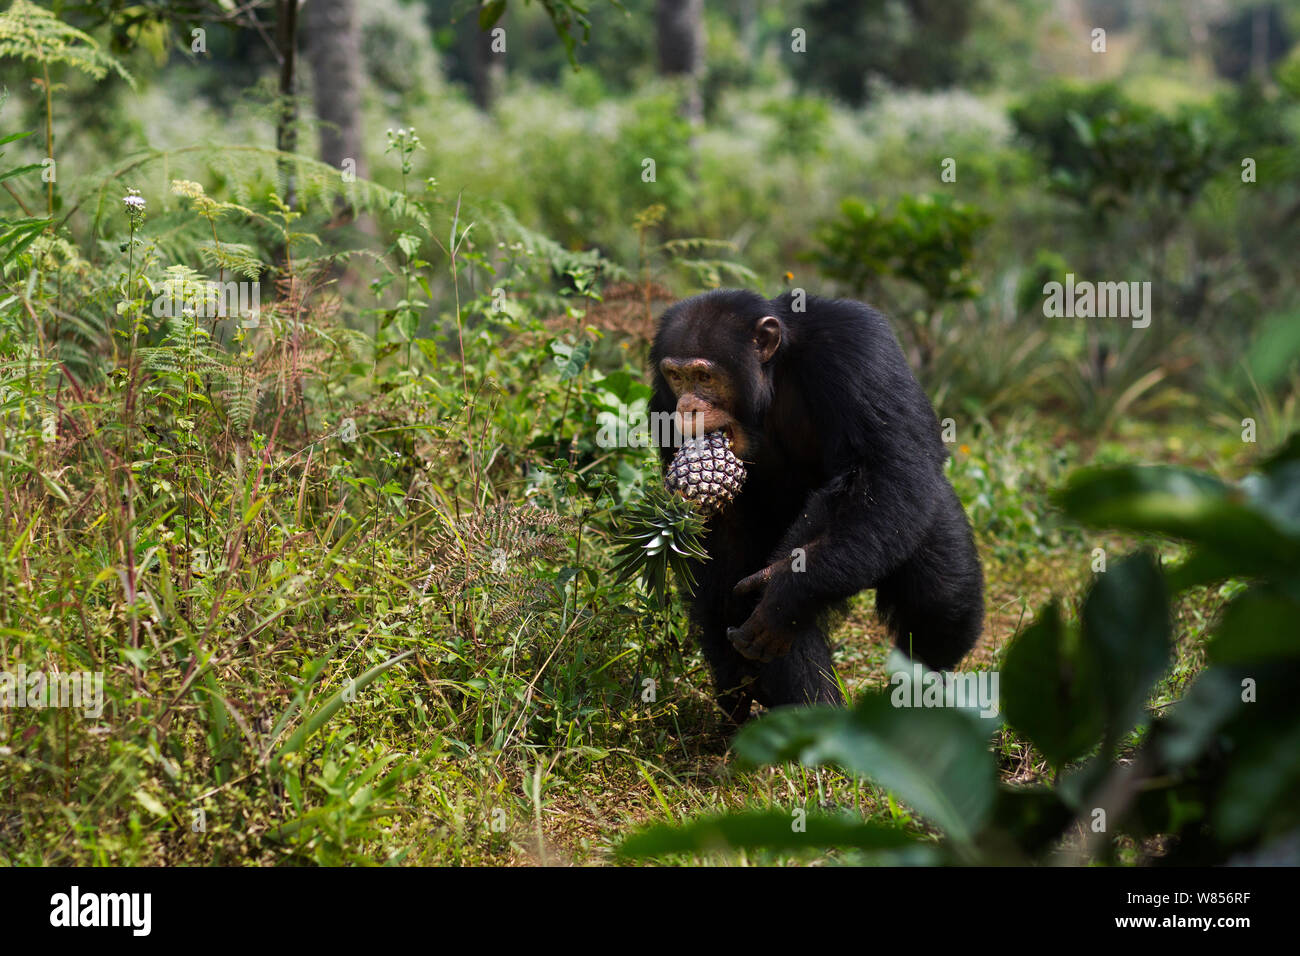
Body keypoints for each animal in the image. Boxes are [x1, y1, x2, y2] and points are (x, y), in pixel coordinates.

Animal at [650, 287, 982, 723]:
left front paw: (789, 589)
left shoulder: (857, 347)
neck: (772, 379)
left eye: (704, 376)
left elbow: (884, 466)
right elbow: (717, 547)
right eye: (677, 376)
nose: (687, 405)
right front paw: (735, 678)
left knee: (940, 591)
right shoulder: (660, 402)